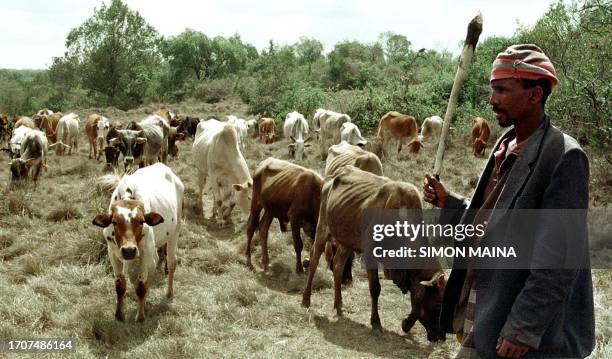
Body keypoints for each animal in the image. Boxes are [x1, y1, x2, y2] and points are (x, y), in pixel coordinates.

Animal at [91, 163, 182, 324]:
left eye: (141, 221)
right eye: (114, 222)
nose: (129, 250)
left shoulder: (145, 252)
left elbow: (140, 286)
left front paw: (140, 316)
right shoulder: (112, 253)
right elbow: (120, 285)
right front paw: (119, 315)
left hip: (174, 233)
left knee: (171, 263)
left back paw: (169, 293)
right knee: (154, 265)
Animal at [304, 167, 448, 344]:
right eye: (438, 305)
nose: (441, 337)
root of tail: (332, 177)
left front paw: (406, 324)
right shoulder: (370, 255)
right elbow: (375, 288)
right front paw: (376, 323)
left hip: (346, 241)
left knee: (337, 267)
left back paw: (338, 305)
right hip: (322, 228)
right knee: (314, 261)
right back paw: (306, 299)